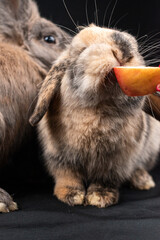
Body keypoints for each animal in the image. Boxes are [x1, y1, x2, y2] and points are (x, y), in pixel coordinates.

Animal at [29, 24, 160, 208]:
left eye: (134, 45)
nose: (124, 52)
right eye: (83, 50)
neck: (98, 109)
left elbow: (105, 179)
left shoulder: (115, 161)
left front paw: (100, 197)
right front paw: (71, 195)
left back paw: (143, 181)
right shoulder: (59, 156)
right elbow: (67, 176)